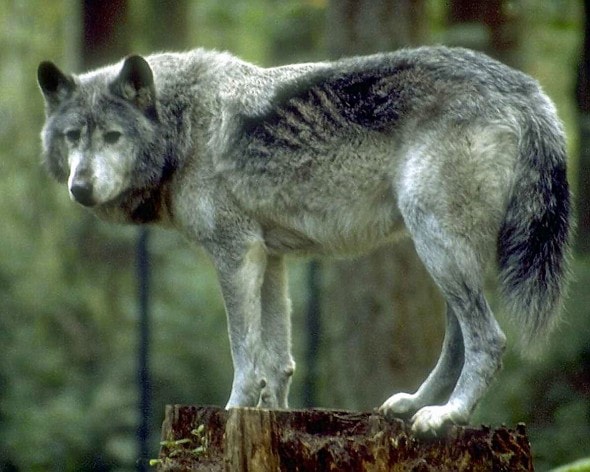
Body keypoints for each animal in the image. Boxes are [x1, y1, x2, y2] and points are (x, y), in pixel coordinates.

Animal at [38, 47, 572, 436]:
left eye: (112, 136)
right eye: (72, 137)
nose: (79, 188)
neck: (185, 127)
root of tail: (527, 90)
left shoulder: (235, 254)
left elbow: (245, 354)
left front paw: (232, 412)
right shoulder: (270, 258)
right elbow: (278, 361)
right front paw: (274, 417)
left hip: (438, 246)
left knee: (490, 340)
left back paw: (448, 416)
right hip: (442, 254)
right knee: (459, 340)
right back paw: (415, 405)